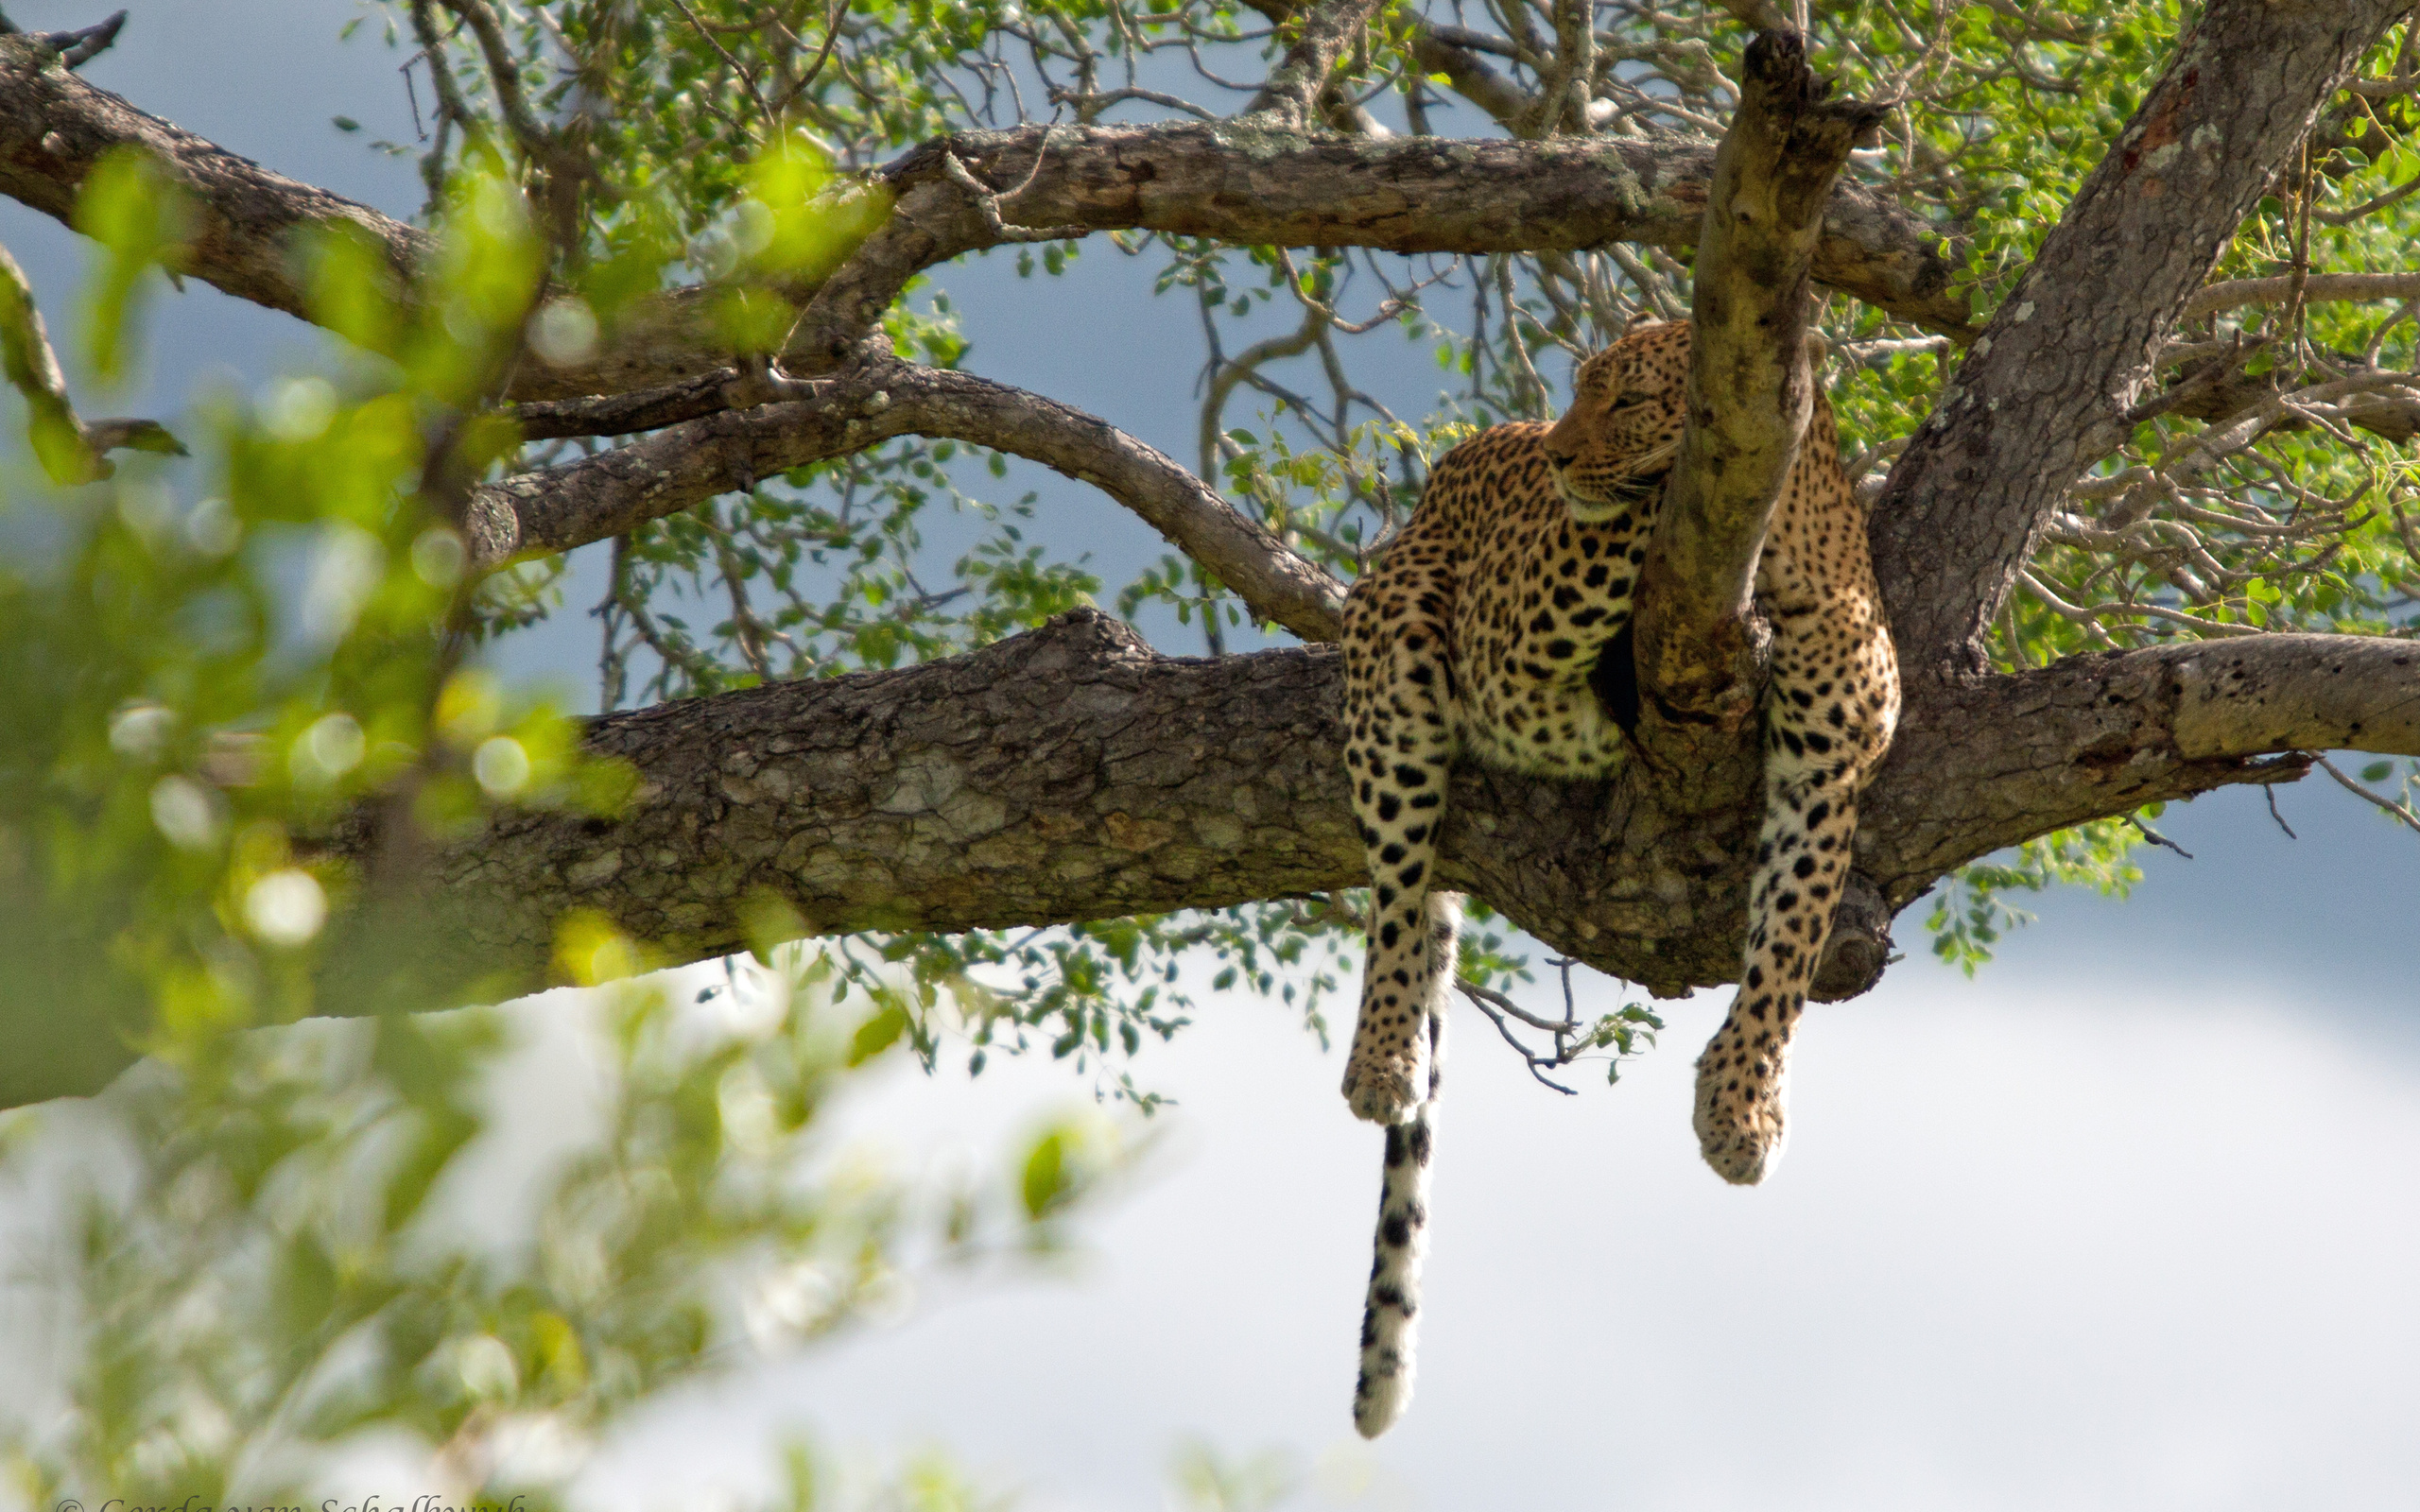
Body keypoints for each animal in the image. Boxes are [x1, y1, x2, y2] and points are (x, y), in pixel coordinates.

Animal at [1336, 312, 1897, 1432]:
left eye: (1628, 399)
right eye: (1578, 388)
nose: (1554, 453)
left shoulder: (1828, 764)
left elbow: (1793, 939)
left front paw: (1741, 1107)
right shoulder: (1513, 631)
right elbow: (1619, 534)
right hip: (1394, 641)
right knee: (1397, 896)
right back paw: (1380, 1059)